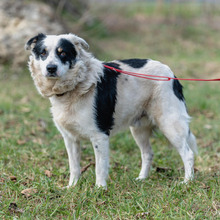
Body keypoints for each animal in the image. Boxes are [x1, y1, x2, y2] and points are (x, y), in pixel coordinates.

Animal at [25, 33, 198, 188]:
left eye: (63, 53)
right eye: (43, 53)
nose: (51, 68)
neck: (76, 86)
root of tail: (171, 73)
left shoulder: (99, 135)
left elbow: (100, 167)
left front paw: (100, 189)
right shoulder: (70, 138)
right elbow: (74, 167)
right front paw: (72, 187)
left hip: (170, 123)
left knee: (188, 153)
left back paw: (187, 182)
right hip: (139, 128)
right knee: (148, 153)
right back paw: (142, 178)